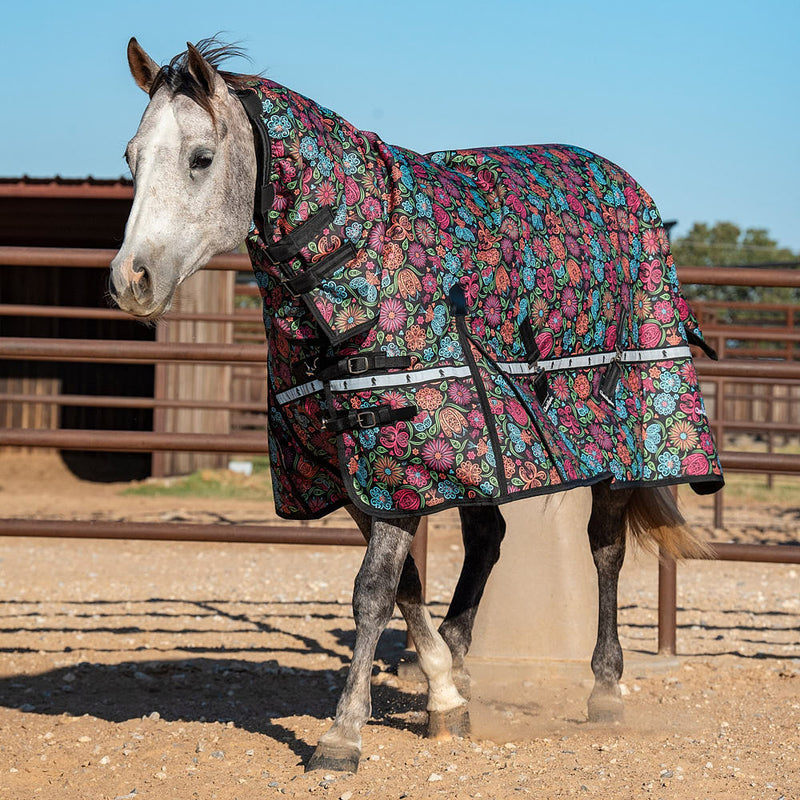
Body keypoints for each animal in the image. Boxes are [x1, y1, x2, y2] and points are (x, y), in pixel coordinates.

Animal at [109, 38, 723, 773]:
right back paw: (460, 659)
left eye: (200, 158)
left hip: (616, 432)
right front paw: (444, 697)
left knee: (604, 548)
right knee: (489, 538)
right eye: (131, 157)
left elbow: (372, 590)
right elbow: (402, 584)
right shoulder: (359, 466)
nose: (131, 280)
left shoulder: (398, 451)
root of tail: (624, 182)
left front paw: (342, 735)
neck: (352, 264)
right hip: (483, 452)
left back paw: (604, 690)